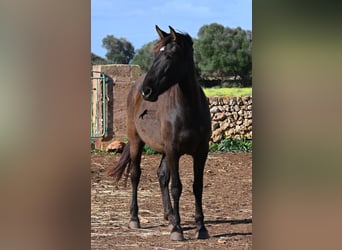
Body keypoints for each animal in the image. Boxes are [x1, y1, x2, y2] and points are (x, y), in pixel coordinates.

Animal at [107, 25, 211, 240]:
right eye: (156, 55)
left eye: (170, 56)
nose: (147, 91)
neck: (189, 109)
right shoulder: (173, 150)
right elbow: (176, 187)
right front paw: (177, 230)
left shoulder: (201, 152)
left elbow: (197, 186)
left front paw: (201, 228)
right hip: (137, 142)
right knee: (135, 174)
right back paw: (135, 219)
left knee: (162, 175)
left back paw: (169, 215)